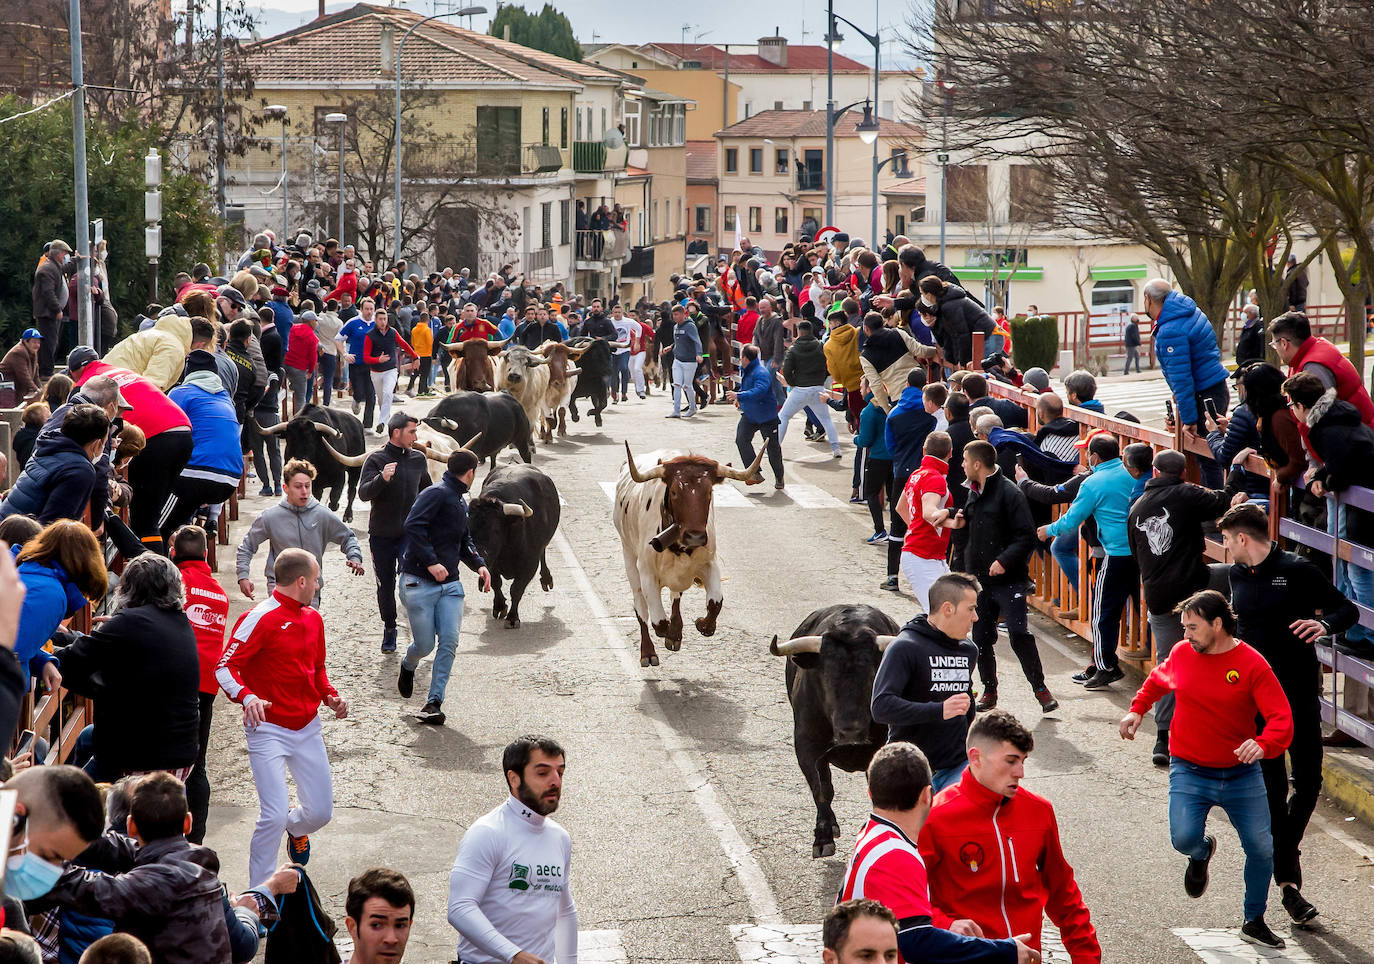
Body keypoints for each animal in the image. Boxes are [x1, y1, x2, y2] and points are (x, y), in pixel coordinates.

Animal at [469, 464, 560, 631]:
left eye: (495, 530)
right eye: (468, 528)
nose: (480, 555)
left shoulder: (529, 564)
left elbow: (516, 589)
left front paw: (512, 618)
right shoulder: (493, 564)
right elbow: (496, 583)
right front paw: (499, 607)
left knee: (543, 553)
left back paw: (546, 579)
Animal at [612, 442, 763, 667]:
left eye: (709, 491)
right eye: (674, 491)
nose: (695, 536)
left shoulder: (709, 563)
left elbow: (715, 603)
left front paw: (700, 625)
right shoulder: (646, 571)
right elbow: (658, 621)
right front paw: (666, 635)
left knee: (676, 596)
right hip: (629, 557)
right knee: (641, 607)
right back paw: (648, 652)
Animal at [774, 604, 901, 862]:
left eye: (872, 675)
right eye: (826, 676)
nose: (850, 730)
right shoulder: (806, 746)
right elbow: (821, 789)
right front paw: (823, 838)